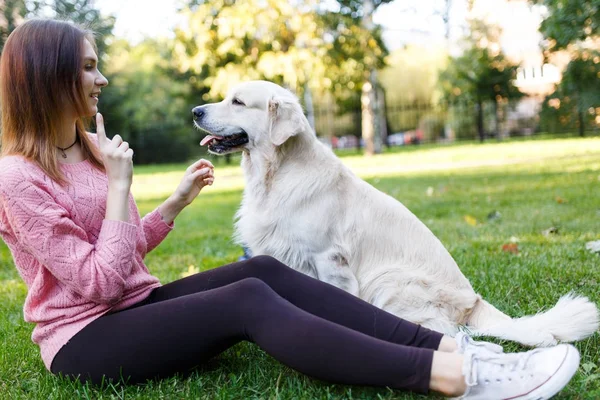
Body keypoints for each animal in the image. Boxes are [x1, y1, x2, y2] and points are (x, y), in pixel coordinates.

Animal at [193, 79, 600, 346]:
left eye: (238, 102)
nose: (196, 110)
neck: (276, 173)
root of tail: (474, 302)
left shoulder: (328, 259)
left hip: (390, 279)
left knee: (443, 330)